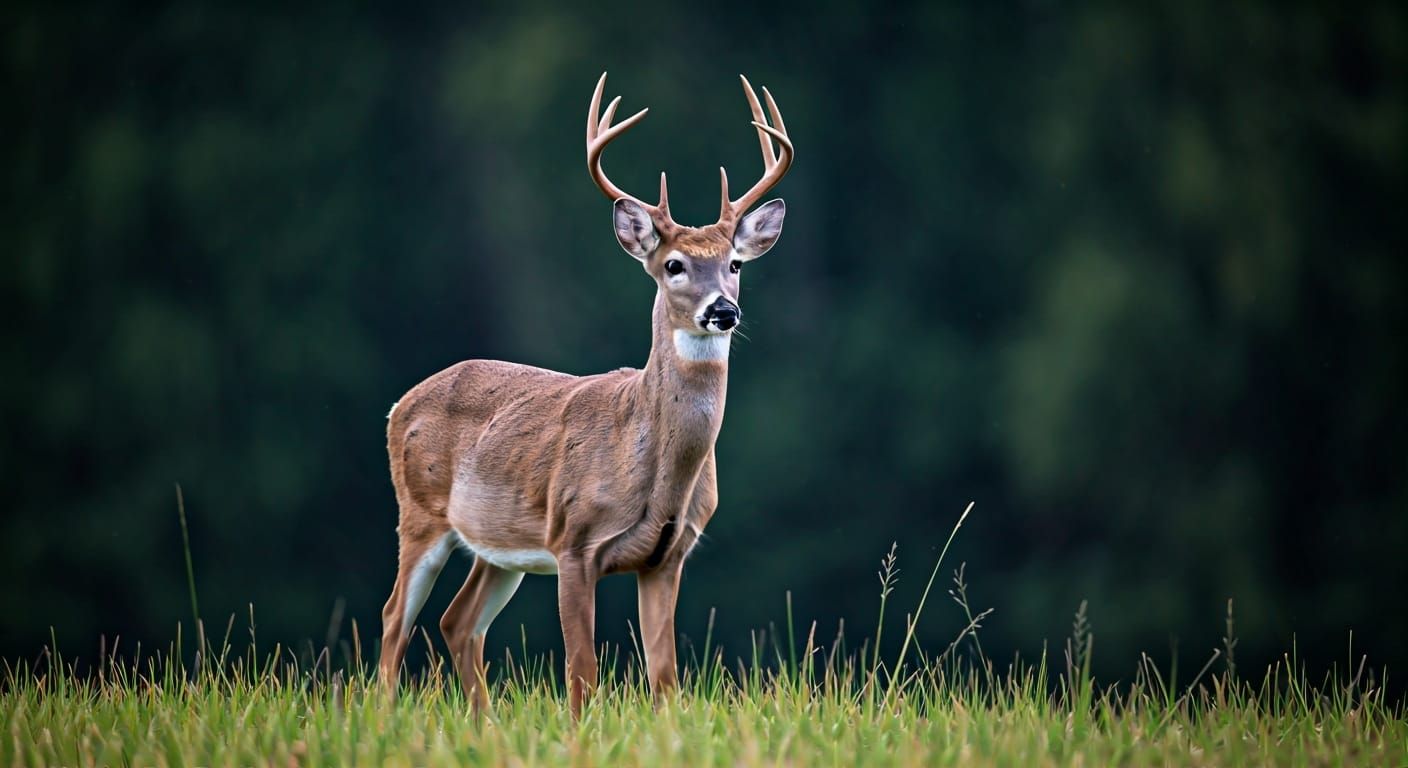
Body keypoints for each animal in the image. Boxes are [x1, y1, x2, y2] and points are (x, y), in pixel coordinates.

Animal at [377, 72, 793, 718]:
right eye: (673, 264)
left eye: (735, 264)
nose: (722, 310)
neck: (653, 467)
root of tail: (399, 406)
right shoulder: (573, 541)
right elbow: (582, 674)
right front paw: (579, 730)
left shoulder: (668, 556)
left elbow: (664, 677)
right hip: (420, 512)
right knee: (395, 616)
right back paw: (385, 717)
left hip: (498, 545)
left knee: (456, 621)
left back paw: (485, 724)